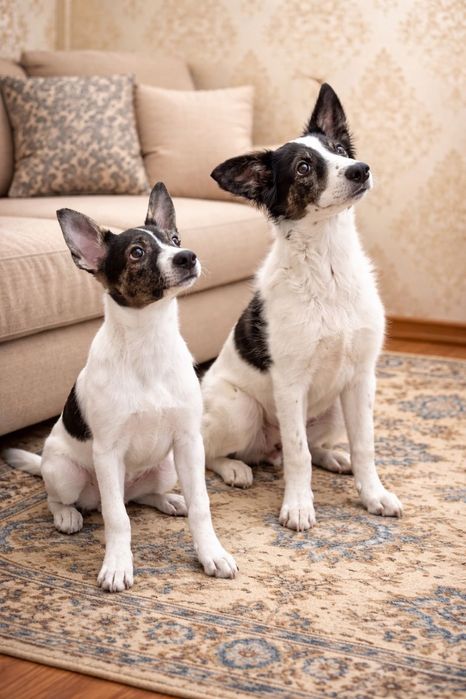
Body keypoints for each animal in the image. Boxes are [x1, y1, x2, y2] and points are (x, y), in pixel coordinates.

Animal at [3, 182, 237, 590]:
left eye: (175, 240)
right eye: (137, 252)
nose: (188, 257)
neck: (148, 341)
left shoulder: (189, 442)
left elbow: (202, 506)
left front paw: (212, 553)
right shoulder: (108, 453)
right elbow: (117, 519)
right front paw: (117, 565)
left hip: (167, 466)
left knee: (138, 498)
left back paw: (168, 500)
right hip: (64, 472)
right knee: (67, 498)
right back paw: (66, 516)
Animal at [201, 83, 402, 531]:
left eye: (340, 150)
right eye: (305, 167)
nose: (360, 169)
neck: (328, 265)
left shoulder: (361, 378)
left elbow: (365, 445)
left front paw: (373, 495)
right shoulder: (290, 383)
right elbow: (298, 453)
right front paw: (298, 505)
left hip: (334, 409)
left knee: (315, 444)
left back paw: (333, 457)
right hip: (241, 408)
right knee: (211, 452)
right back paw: (235, 469)